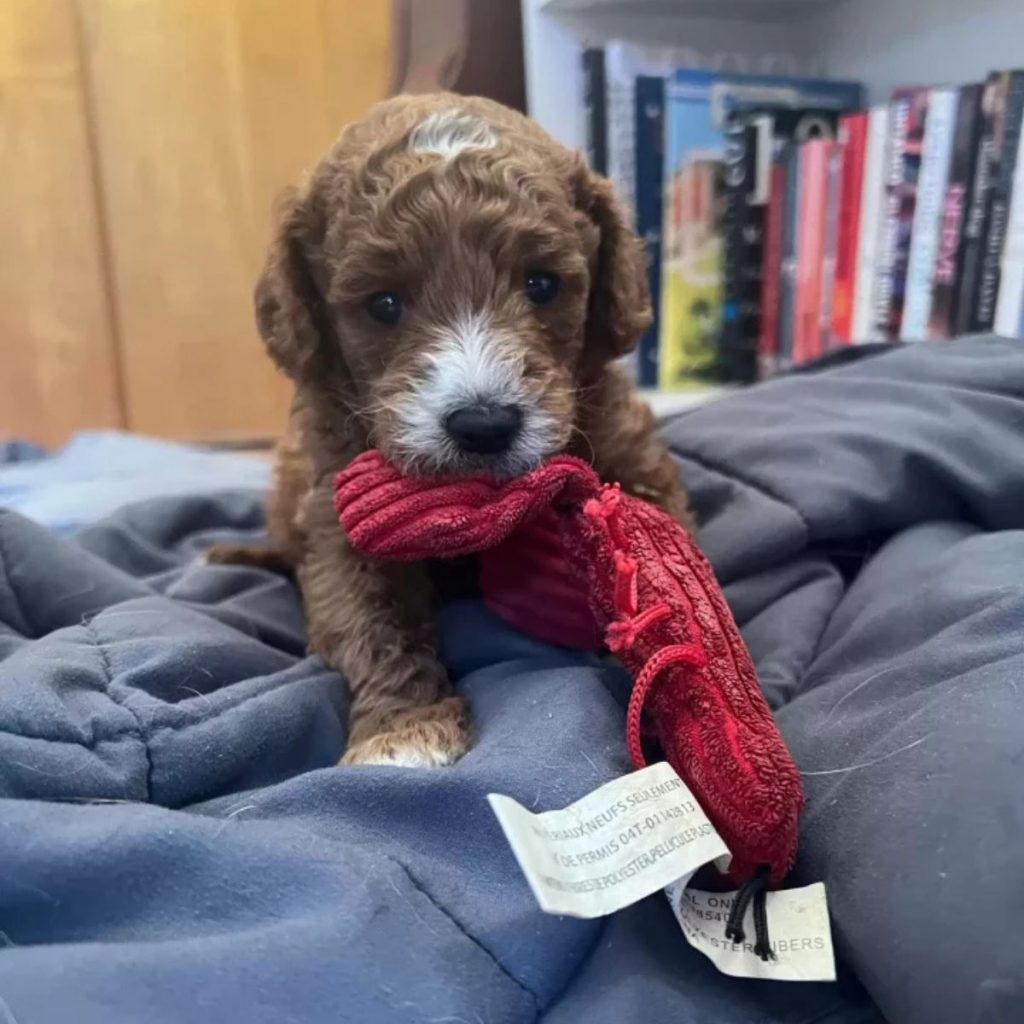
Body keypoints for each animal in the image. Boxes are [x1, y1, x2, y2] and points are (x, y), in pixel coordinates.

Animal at [208, 92, 692, 770]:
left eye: (542, 285)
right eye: (384, 304)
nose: (484, 424)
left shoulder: (629, 453)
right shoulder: (337, 509)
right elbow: (370, 618)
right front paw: (403, 732)